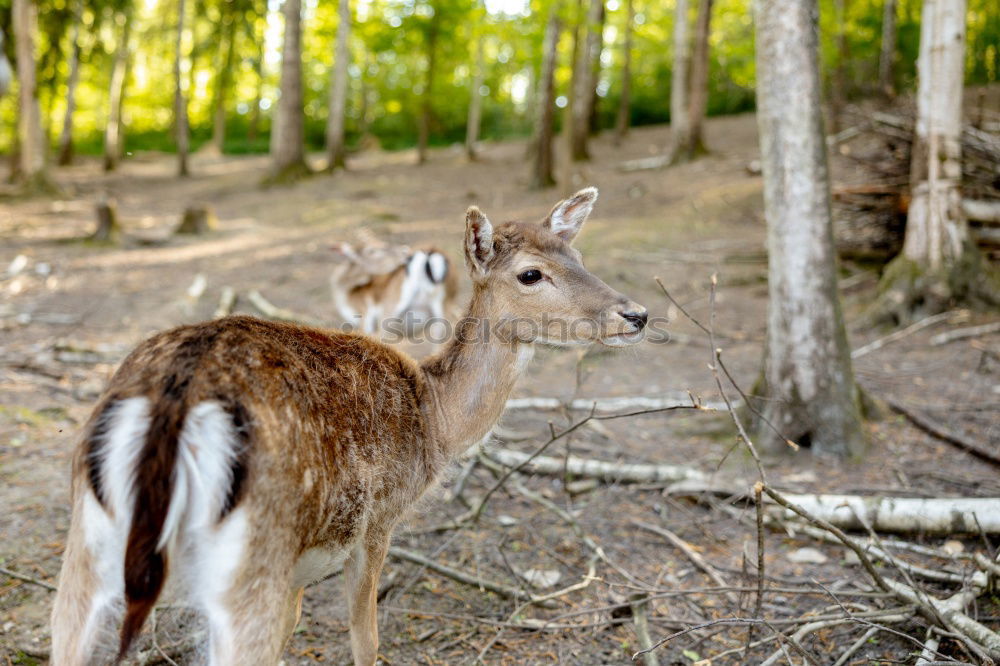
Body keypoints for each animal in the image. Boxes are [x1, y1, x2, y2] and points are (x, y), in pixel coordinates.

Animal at [50, 187, 648, 664]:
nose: (636, 314)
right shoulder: (378, 522)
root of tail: (177, 401)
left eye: (578, 255)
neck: (434, 420)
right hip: (250, 559)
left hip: (87, 545)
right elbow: (366, 638)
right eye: (530, 274)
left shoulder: (300, 571)